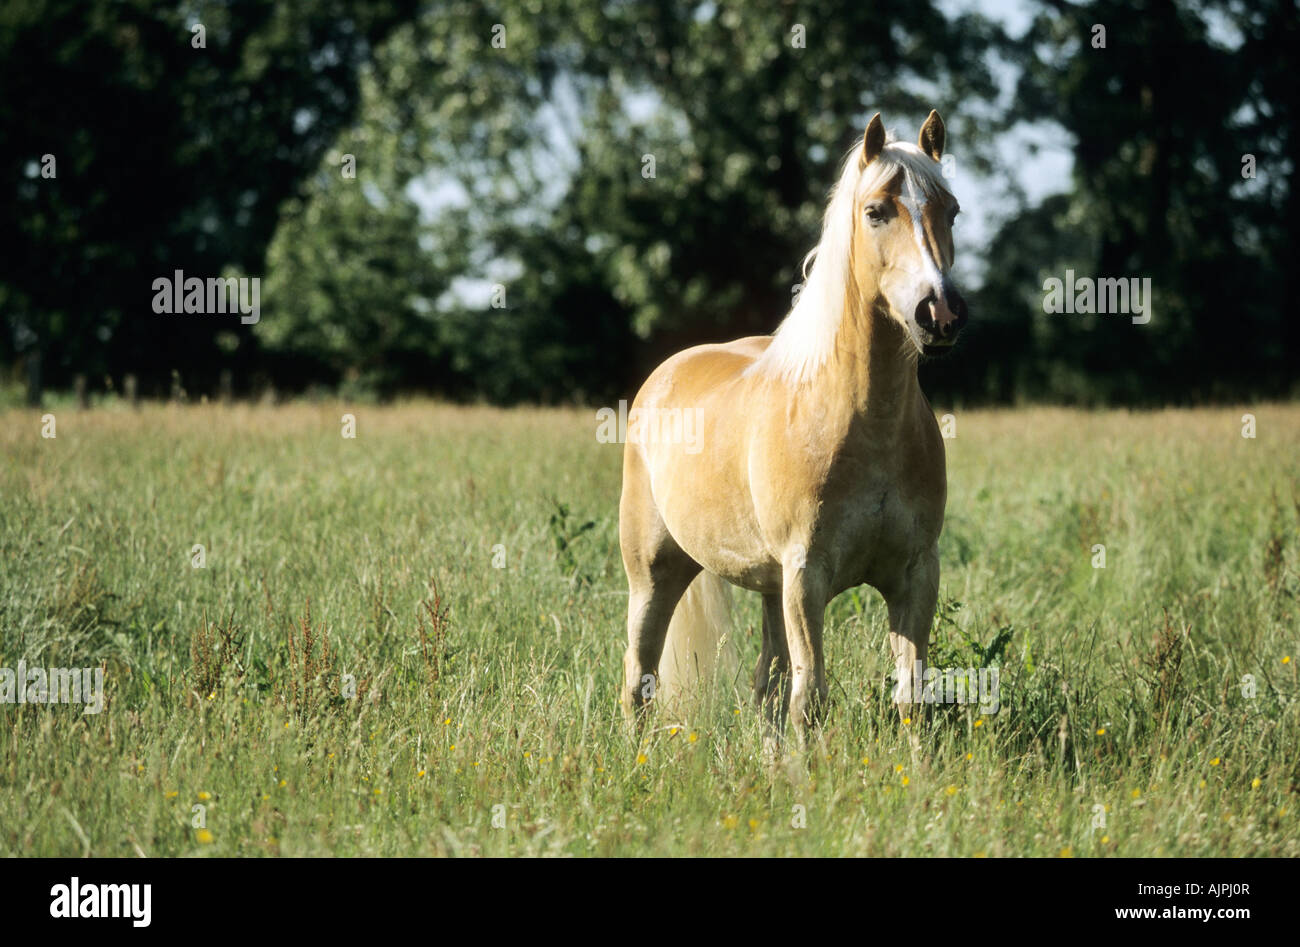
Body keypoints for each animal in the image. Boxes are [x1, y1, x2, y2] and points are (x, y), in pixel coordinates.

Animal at [616, 112, 967, 749]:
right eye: (875, 211)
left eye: (950, 210)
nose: (942, 313)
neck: (865, 423)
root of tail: (667, 371)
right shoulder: (807, 577)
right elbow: (812, 699)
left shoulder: (915, 573)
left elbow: (911, 697)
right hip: (654, 574)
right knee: (639, 677)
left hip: (767, 585)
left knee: (765, 682)